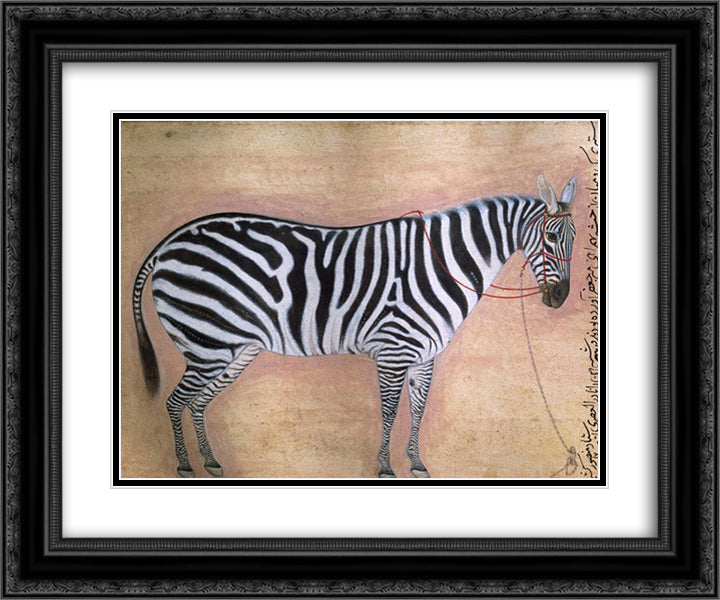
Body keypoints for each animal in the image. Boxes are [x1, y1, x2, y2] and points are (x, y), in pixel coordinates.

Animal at [132, 175, 577, 478]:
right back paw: (184, 466)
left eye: (576, 238)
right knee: (174, 401)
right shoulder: (394, 350)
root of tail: (168, 243)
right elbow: (390, 410)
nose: (560, 298)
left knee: (197, 402)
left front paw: (417, 463)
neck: (442, 263)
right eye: (552, 239)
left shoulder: (424, 356)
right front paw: (385, 467)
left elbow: (418, 409)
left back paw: (210, 461)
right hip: (206, 342)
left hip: (235, 349)